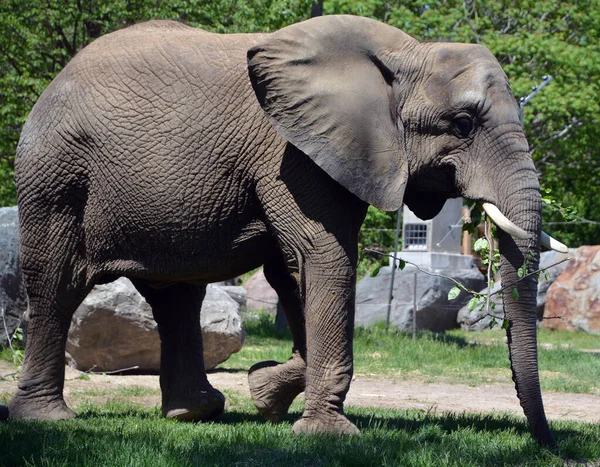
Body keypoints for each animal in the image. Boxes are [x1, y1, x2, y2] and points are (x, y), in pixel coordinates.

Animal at [4, 13, 564, 446]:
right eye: (463, 123)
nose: (549, 444)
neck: (404, 53)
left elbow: (293, 271)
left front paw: (265, 393)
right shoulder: (289, 154)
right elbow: (323, 256)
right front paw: (323, 432)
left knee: (175, 294)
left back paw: (196, 412)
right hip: (55, 174)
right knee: (58, 283)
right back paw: (46, 419)